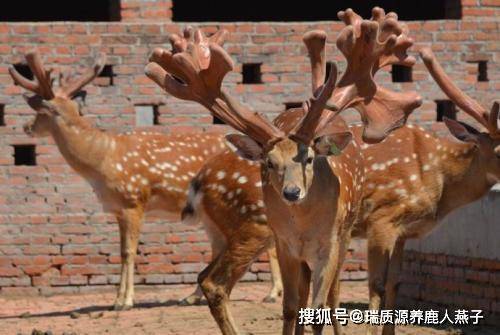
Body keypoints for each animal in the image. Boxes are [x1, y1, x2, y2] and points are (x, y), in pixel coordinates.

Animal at [9, 51, 227, 312]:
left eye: (41, 112)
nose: (26, 126)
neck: (103, 159)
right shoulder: (118, 209)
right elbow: (121, 251)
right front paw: (116, 300)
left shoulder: (133, 201)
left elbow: (129, 252)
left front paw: (126, 301)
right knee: (219, 245)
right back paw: (192, 297)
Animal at [146, 6, 422, 334]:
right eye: (269, 162)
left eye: (309, 158)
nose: (292, 192)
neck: (303, 225)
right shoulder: (284, 244)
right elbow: (291, 307)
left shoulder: (330, 243)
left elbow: (319, 306)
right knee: (224, 282)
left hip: (336, 231)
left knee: (330, 294)